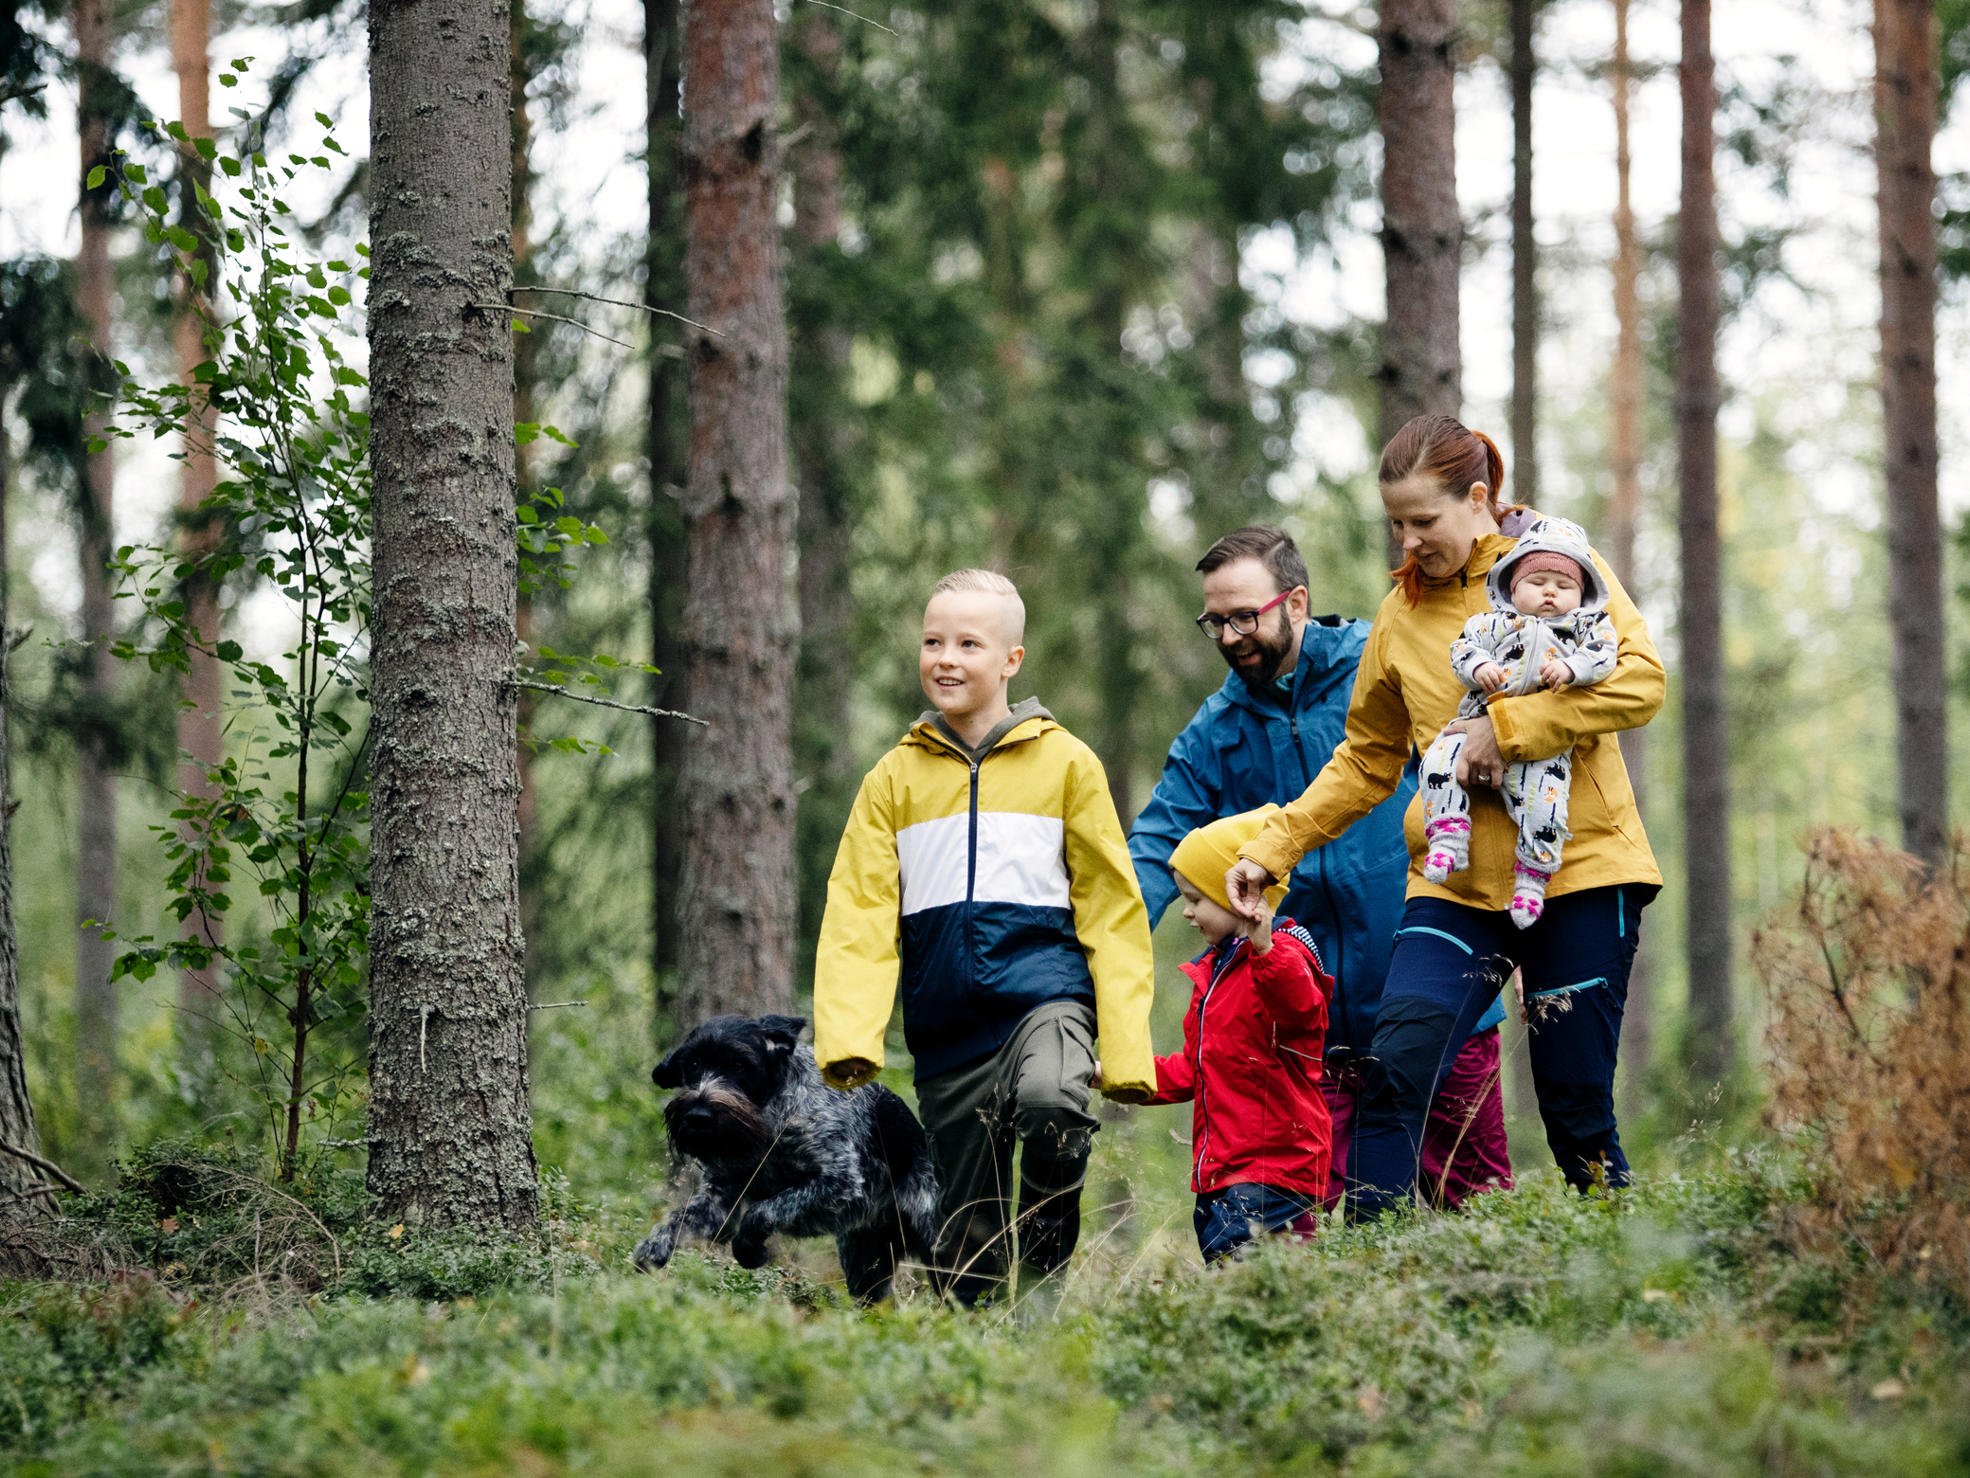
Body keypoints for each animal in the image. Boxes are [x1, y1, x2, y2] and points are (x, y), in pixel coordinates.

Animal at [630, 1016, 937, 1300]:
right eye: (693, 1064)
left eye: (739, 1065)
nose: (698, 1116)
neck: (767, 1120)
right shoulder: (717, 1200)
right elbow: (676, 1221)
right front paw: (653, 1249)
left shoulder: (840, 1182)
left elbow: (761, 1212)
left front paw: (749, 1251)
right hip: (865, 1267)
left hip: (936, 1246)